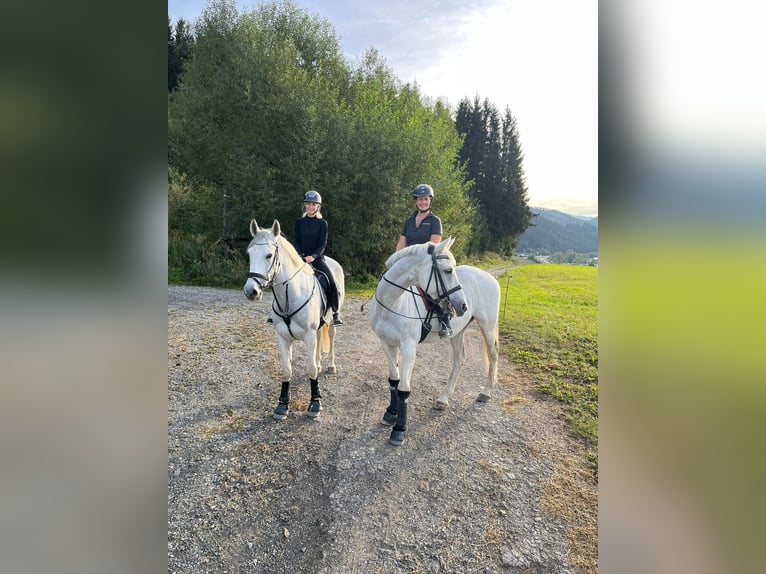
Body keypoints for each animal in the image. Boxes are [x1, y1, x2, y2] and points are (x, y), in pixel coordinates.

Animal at [244, 218, 346, 420]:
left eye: (269, 255)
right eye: (249, 254)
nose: (251, 291)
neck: (290, 296)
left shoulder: (308, 335)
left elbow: (310, 369)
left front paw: (315, 404)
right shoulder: (283, 337)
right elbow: (286, 370)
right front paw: (282, 405)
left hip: (331, 322)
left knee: (331, 337)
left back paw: (330, 365)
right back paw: (321, 364)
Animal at [368, 236, 500, 448]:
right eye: (447, 271)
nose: (463, 305)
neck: (393, 303)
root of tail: (490, 278)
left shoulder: (408, 348)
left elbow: (404, 388)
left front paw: (399, 430)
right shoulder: (387, 344)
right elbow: (394, 380)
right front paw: (390, 413)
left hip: (487, 326)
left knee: (493, 355)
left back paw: (486, 393)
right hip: (458, 332)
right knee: (459, 359)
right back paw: (443, 399)